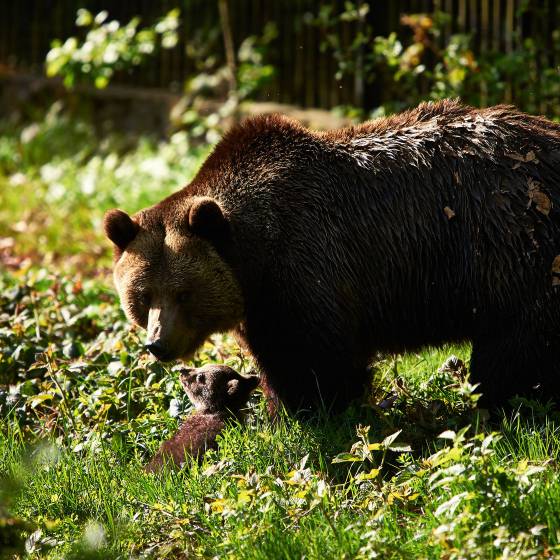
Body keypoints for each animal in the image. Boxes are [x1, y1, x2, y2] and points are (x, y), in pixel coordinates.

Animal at [103, 100, 560, 412]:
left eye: (184, 293)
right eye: (142, 295)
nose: (158, 344)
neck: (254, 256)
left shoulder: (308, 268)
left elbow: (318, 360)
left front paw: (314, 410)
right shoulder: (261, 302)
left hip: (517, 251)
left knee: (510, 352)